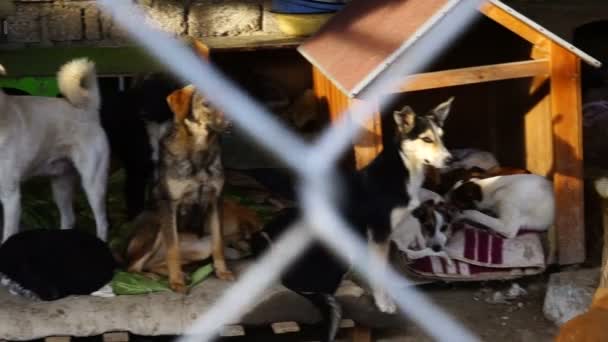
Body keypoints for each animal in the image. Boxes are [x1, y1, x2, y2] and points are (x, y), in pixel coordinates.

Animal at [0, 58, 109, 240]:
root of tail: (88, 108)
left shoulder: (11, 196)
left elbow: (7, 235)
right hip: (61, 186)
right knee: (69, 218)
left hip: (93, 184)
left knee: (102, 223)